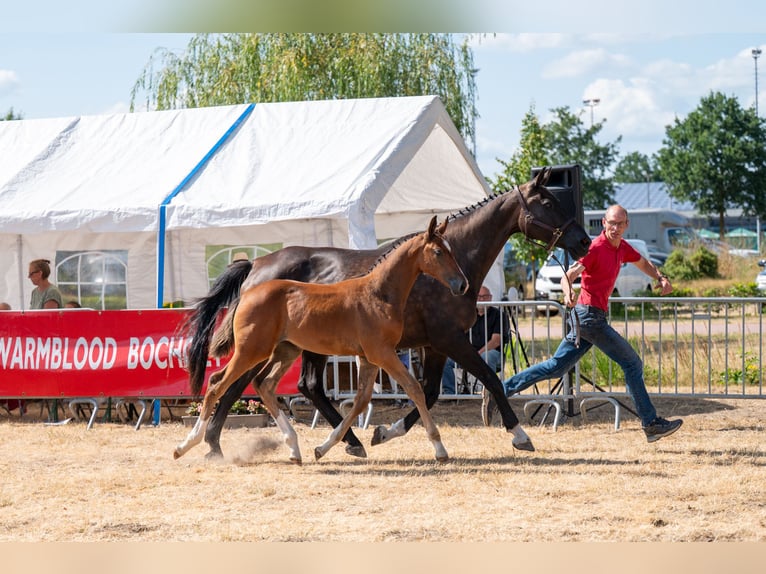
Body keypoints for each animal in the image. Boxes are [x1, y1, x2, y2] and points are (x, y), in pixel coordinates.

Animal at [174, 216, 468, 462]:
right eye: (439, 252)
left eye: (452, 250)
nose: (462, 284)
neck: (378, 293)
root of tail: (247, 292)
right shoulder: (383, 353)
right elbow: (414, 389)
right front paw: (439, 448)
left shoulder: (368, 357)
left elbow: (361, 401)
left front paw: (327, 446)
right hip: (251, 350)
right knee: (217, 384)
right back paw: (187, 445)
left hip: (285, 351)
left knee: (264, 385)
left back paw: (293, 448)